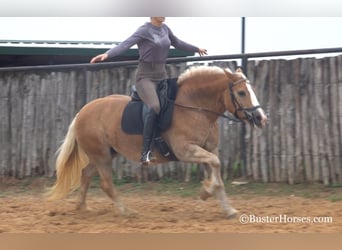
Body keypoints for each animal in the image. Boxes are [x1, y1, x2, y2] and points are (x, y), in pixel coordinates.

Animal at [47, 65, 268, 218]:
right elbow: (216, 166)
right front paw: (206, 192)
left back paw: (82, 207)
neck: (194, 107)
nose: (261, 118)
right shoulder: (186, 150)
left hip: (105, 154)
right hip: (101, 156)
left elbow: (218, 175)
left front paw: (227, 208)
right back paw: (127, 212)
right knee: (106, 184)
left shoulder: (209, 149)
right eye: (241, 93)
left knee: (85, 174)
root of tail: (81, 112)